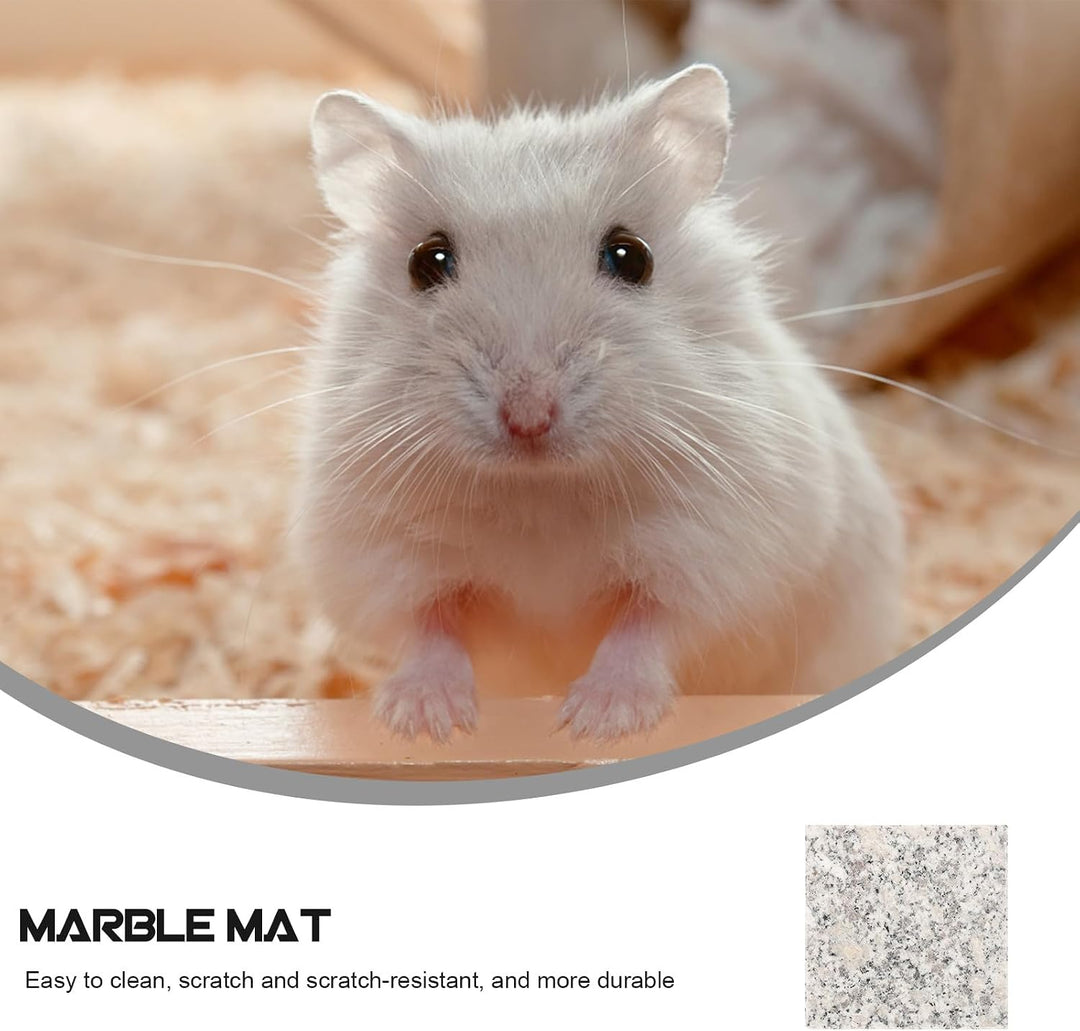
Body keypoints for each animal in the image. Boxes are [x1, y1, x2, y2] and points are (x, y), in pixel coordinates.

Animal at [297, 64, 903, 741]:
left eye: (630, 255)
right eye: (426, 261)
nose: (528, 416)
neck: (542, 494)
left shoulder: (718, 552)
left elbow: (647, 628)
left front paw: (597, 722)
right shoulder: (379, 556)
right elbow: (427, 628)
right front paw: (430, 722)